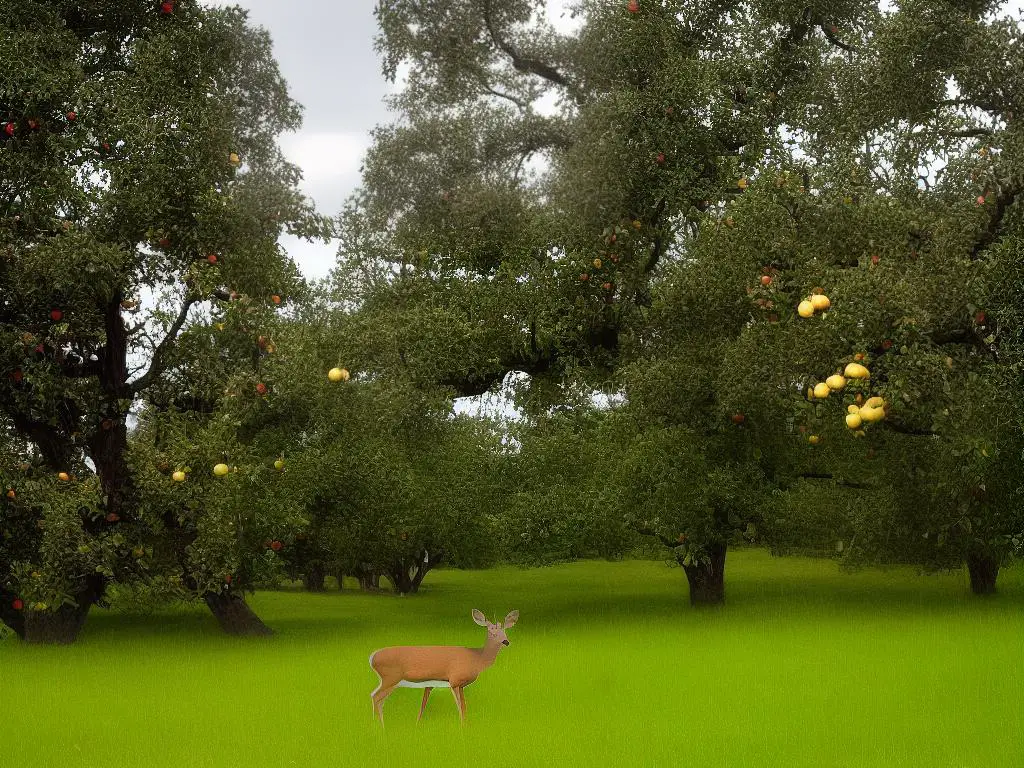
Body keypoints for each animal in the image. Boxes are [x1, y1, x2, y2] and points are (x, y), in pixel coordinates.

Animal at [368, 610, 520, 724]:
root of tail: (372, 657)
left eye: (505, 631)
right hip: (390, 678)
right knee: (375, 696)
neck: (477, 659)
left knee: (378, 699)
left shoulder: (461, 685)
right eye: (490, 631)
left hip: (389, 680)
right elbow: (460, 708)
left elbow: (465, 708)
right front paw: (462, 729)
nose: (505, 641)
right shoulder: (454, 680)